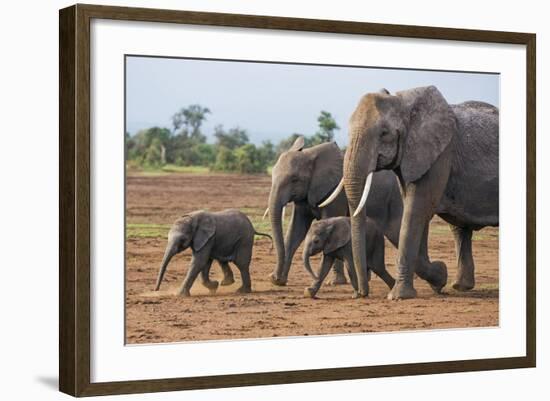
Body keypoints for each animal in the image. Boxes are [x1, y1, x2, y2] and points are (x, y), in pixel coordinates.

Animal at [268, 136, 406, 286]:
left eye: (294, 179)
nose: (274, 278)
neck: (311, 154)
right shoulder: (304, 196)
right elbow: (295, 232)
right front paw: (277, 281)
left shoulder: (336, 193)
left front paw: (335, 282)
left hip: (395, 199)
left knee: (397, 232)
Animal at [328, 86, 500, 298]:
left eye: (384, 133)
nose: (359, 294)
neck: (404, 103)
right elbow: (415, 213)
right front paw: (439, 276)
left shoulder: (440, 154)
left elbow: (416, 210)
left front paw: (399, 296)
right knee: (459, 228)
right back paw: (460, 286)